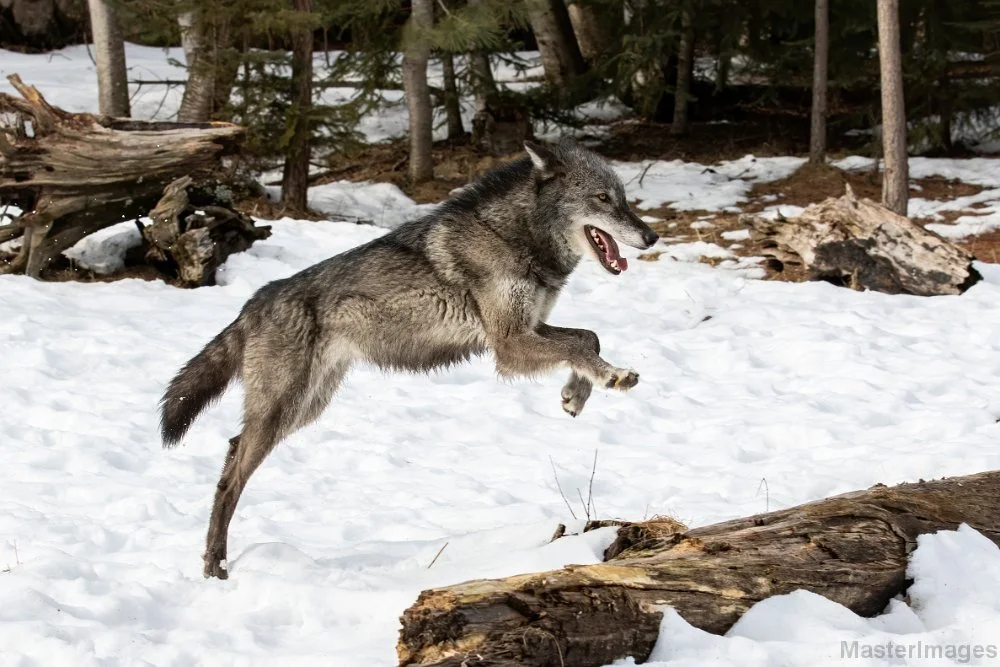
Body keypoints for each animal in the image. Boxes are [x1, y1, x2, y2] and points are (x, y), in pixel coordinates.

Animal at [160, 139, 659, 579]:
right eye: (602, 199)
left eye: (623, 198)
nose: (652, 236)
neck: (512, 235)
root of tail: (252, 303)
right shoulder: (509, 345)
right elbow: (580, 346)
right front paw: (614, 377)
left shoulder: (527, 332)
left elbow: (588, 338)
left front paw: (577, 394)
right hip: (282, 410)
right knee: (230, 478)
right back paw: (214, 567)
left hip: (306, 408)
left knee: (230, 449)